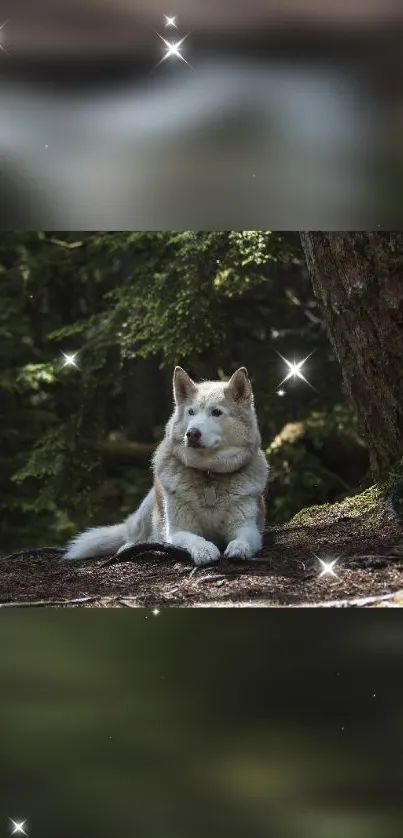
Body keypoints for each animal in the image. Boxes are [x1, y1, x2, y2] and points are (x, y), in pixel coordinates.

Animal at [65, 366, 268, 568]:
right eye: (191, 412)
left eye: (216, 412)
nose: (191, 433)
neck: (208, 473)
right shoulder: (177, 531)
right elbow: (195, 539)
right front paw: (205, 550)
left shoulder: (248, 528)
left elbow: (242, 539)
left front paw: (239, 548)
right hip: (147, 510)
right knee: (132, 537)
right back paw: (131, 547)